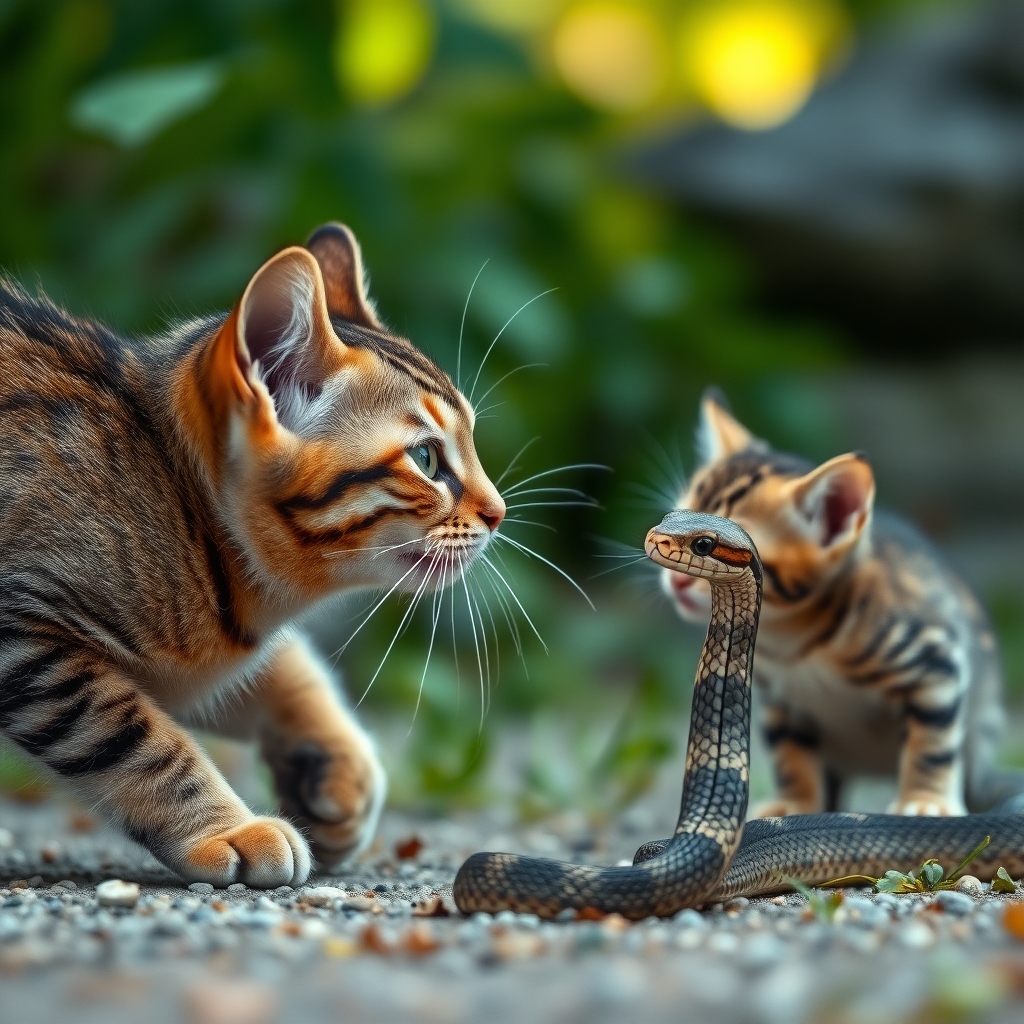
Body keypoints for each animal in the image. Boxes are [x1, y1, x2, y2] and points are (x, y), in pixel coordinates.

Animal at [0, 224, 503, 888]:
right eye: (425, 459)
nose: (499, 512)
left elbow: (279, 667)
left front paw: (339, 764)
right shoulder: (24, 633)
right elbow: (132, 735)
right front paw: (225, 830)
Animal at [659, 387, 1019, 819]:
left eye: (709, 543)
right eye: (673, 514)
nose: (675, 580)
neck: (795, 642)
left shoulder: (935, 661)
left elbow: (932, 740)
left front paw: (924, 800)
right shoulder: (782, 698)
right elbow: (790, 752)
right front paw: (797, 802)